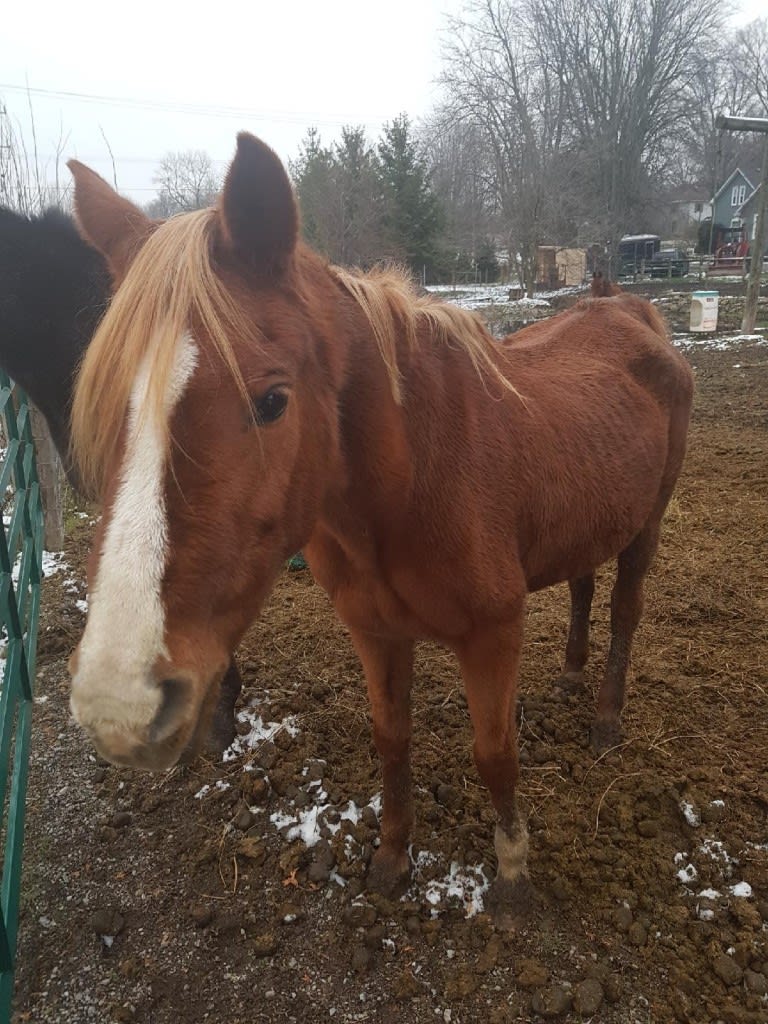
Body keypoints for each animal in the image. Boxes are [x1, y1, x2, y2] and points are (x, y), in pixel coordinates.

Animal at [63, 132, 696, 925]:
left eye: (272, 401)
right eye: (105, 400)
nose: (120, 705)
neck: (414, 479)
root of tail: (633, 313)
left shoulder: (493, 634)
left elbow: (496, 753)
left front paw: (512, 874)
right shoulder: (376, 632)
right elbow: (391, 741)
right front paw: (393, 858)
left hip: (648, 525)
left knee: (624, 608)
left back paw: (607, 718)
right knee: (583, 584)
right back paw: (573, 677)